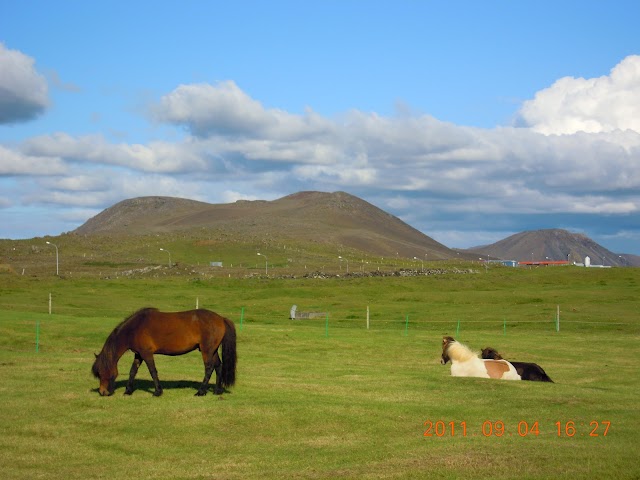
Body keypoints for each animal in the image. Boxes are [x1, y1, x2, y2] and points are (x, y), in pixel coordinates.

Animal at [92, 308, 238, 398]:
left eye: (101, 372)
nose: (102, 392)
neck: (135, 328)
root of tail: (221, 318)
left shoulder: (147, 354)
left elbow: (152, 371)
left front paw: (157, 391)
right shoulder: (138, 355)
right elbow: (133, 371)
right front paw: (128, 391)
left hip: (207, 350)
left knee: (209, 368)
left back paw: (201, 392)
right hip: (212, 350)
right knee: (218, 366)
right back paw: (217, 390)